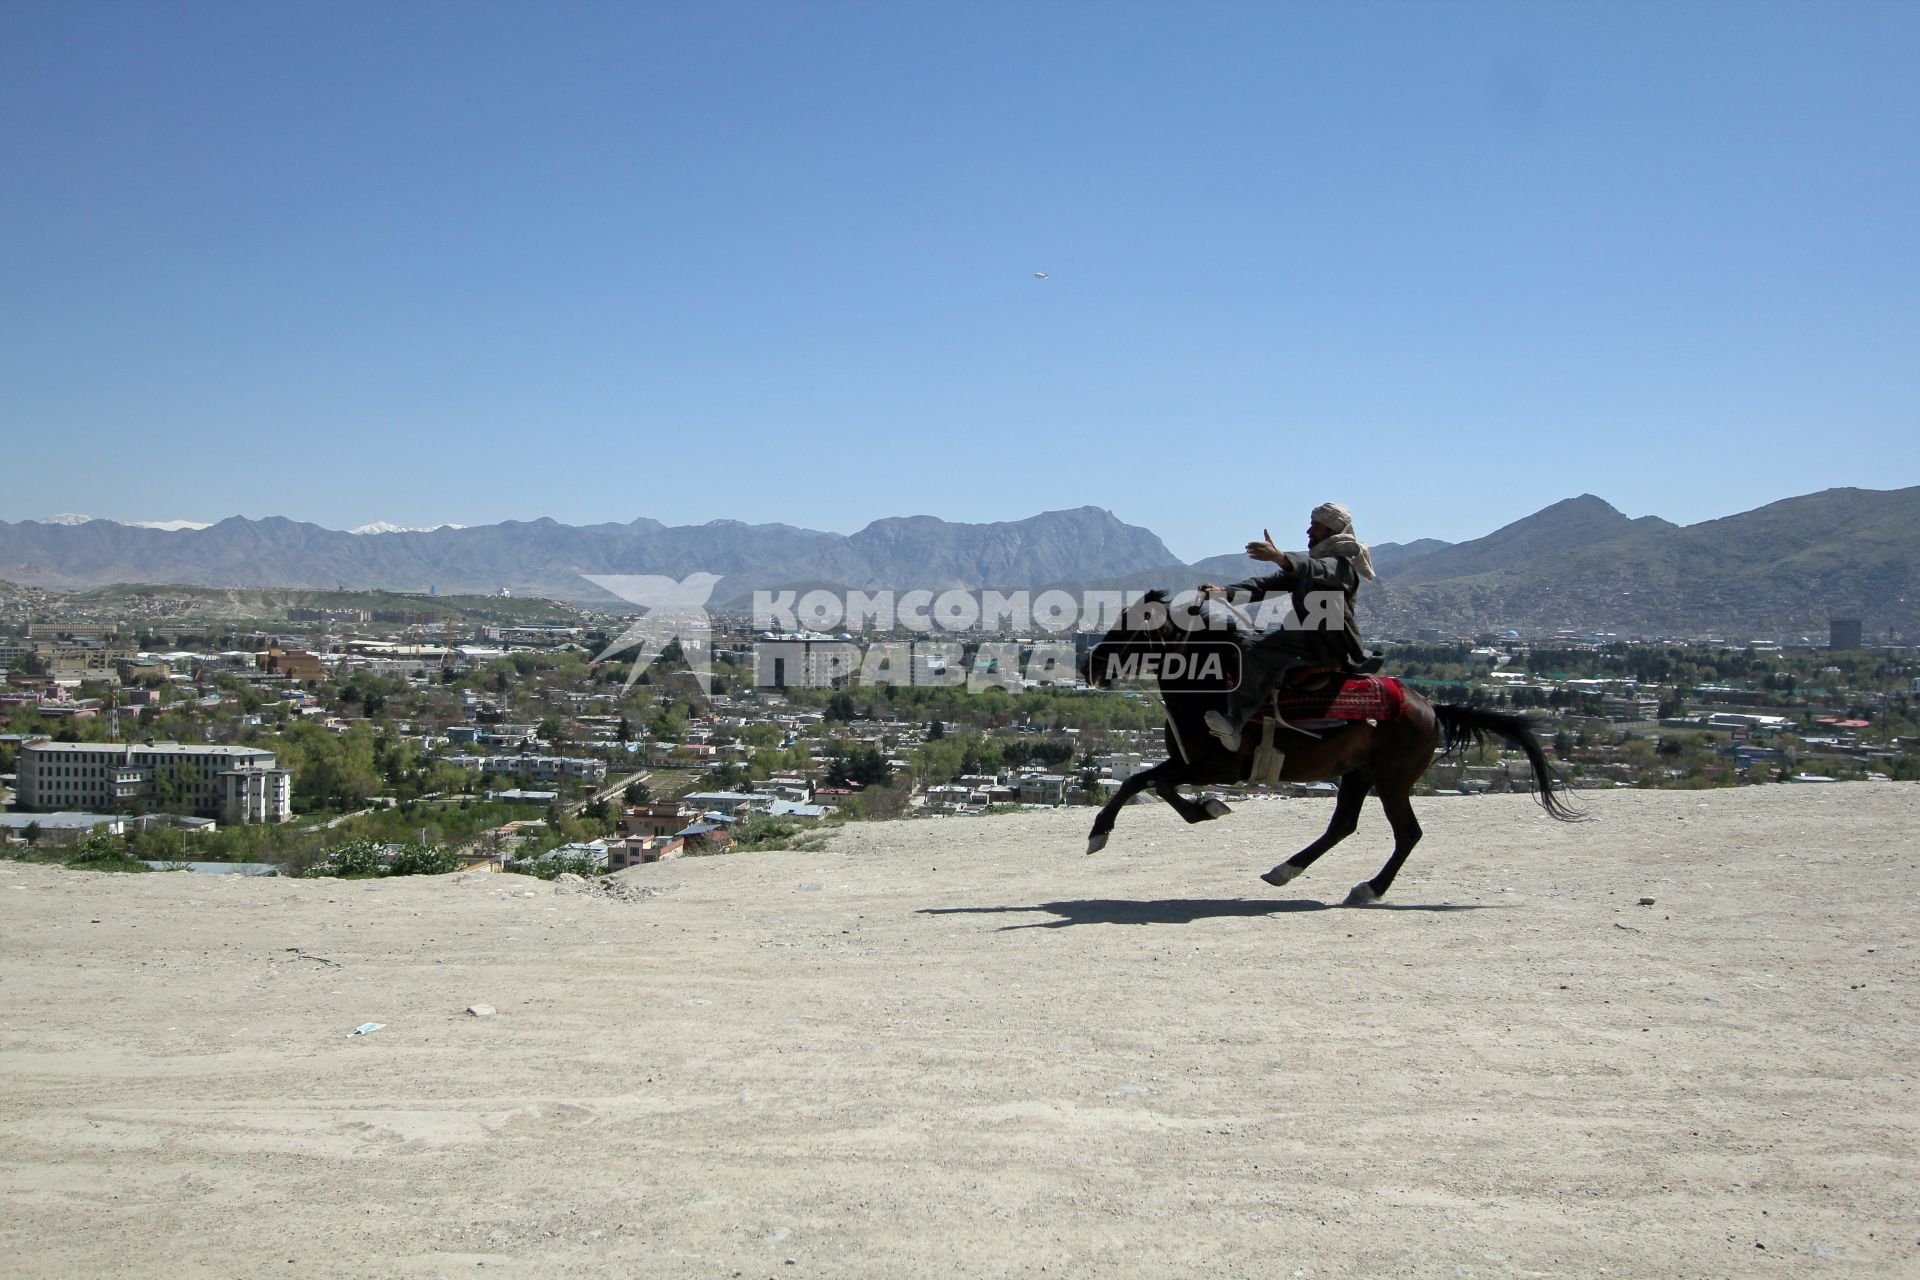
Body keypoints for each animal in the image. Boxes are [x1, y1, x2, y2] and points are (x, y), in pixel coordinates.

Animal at [1075, 594, 1582, 905]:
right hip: (1357, 774)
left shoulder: (1216, 764)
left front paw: (1108, 831)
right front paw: (1198, 811)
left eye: (1131, 627)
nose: (1088, 665)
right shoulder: (1189, 762)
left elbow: (1146, 781)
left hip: (1392, 780)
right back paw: (1285, 869)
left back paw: (1369, 889)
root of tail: (1430, 707)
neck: (1210, 688)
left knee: (1407, 834)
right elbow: (1143, 781)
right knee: (1343, 826)